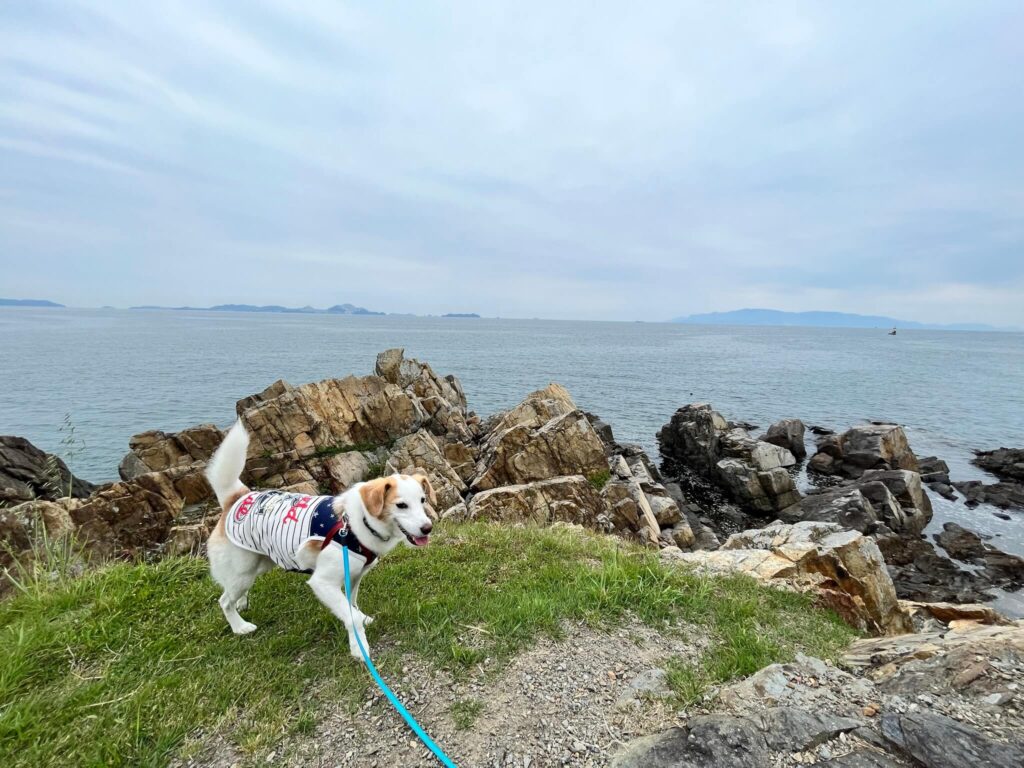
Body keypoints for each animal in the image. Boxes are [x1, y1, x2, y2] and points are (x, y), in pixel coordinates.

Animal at [203, 421, 436, 663]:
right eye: (401, 505)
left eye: (422, 500)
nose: (427, 528)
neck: (357, 523)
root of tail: (236, 498)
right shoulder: (323, 582)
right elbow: (350, 616)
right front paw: (359, 647)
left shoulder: (354, 576)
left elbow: (352, 605)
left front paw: (360, 619)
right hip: (243, 571)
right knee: (224, 600)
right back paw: (240, 626)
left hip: (259, 563)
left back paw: (242, 603)